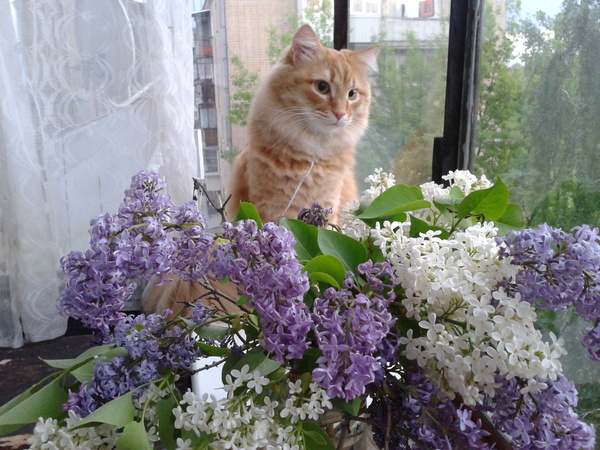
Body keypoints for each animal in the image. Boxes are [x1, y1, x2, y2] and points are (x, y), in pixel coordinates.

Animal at [143, 25, 378, 316]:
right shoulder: (272, 212)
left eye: (352, 94)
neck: (311, 155)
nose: (340, 114)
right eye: (322, 87)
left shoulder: (327, 210)